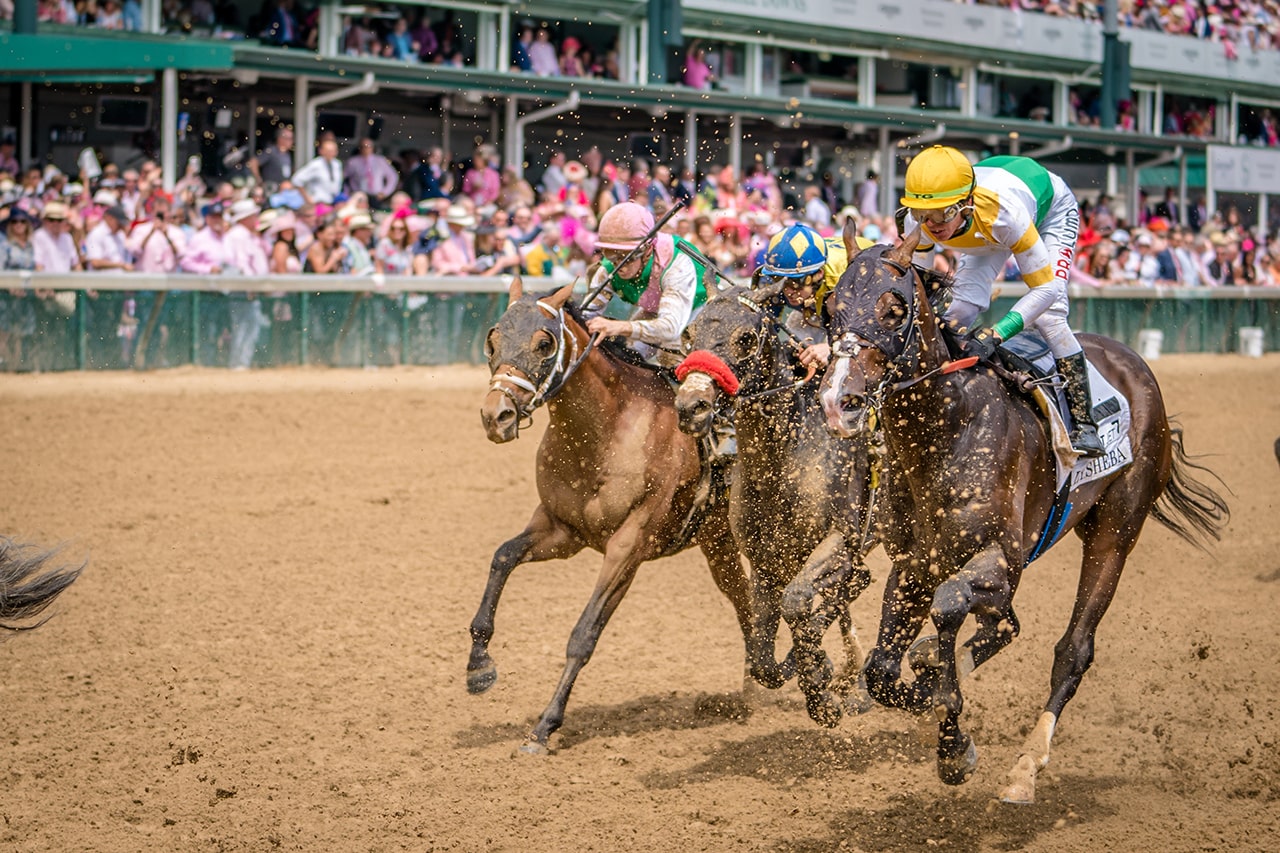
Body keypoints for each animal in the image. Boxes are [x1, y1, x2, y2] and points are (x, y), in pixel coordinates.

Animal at [476, 277, 752, 753]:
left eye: (544, 343)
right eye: (493, 340)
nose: (498, 416)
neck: (606, 433)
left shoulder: (628, 547)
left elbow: (584, 634)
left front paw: (544, 726)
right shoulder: (563, 531)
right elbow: (503, 557)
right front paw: (478, 664)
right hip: (718, 543)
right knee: (746, 599)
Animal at [675, 284, 875, 722]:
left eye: (746, 338)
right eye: (688, 334)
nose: (691, 406)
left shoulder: (842, 538)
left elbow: (797, 603)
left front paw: (821, 687)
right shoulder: (766, 561)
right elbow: (764, 659)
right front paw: (820, 670)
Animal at [814, 229, 1223, 799]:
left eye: (894, 310)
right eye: (830, 308)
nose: (838, 402)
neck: (950, 428)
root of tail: (1134, 364)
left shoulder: (1001, 559)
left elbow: (947, 609)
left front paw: (951, 742)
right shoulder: (915, 563)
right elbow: (882, 669)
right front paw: (924, 693)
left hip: (1116, 531)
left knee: (1073, 648)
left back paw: (1027, 767)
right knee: (1005, 625)